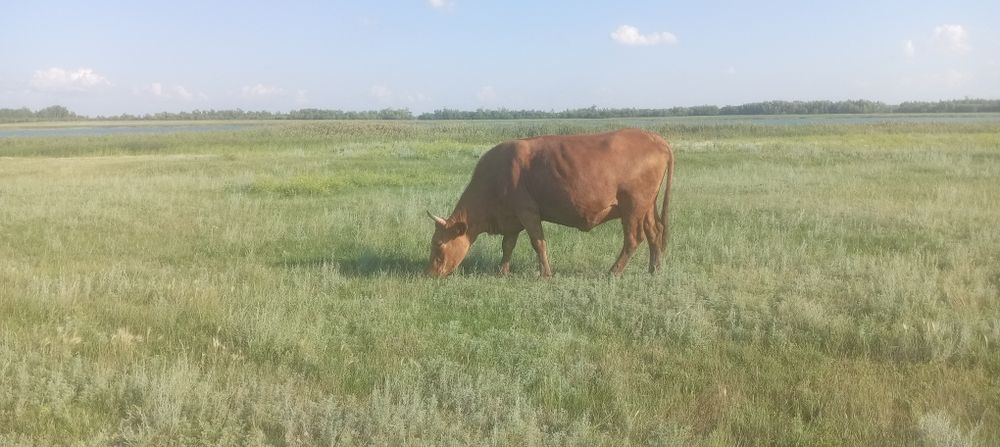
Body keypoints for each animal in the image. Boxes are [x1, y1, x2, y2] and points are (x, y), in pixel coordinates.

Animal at [426, 128, 674, 277]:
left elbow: (538, 243)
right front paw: (502, 272)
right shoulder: (512, 218)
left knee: (634, 239)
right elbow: (508, 245)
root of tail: (655, 138)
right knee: (655, 232)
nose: (430, 273)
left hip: (632, 207)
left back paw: (613, 272)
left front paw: (546, 274)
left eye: (438, 244)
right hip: (646, 207)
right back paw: (654, 270)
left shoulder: (527, 212)